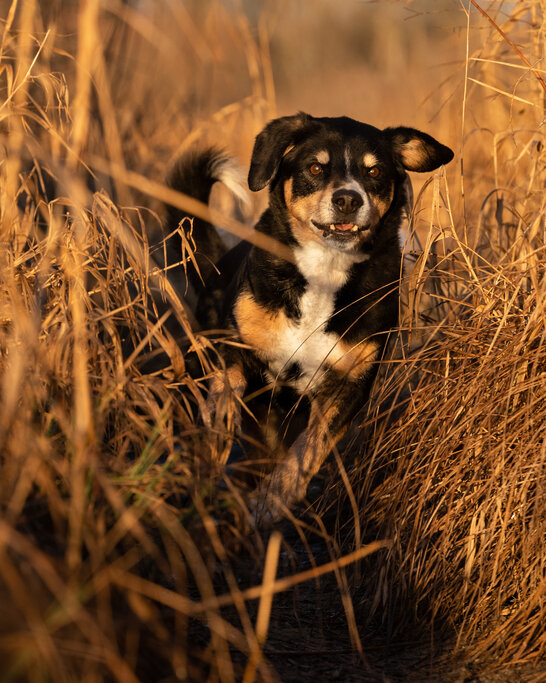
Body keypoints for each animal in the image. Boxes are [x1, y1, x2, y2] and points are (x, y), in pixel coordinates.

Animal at [165, 112, 450, 520]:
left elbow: (310, 447)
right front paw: (217, 437)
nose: (347, 199)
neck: (324, 271)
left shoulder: (350, 383)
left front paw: (272, 499)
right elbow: (224, 392)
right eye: (316, 167)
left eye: (374, 171)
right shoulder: (234, 346)